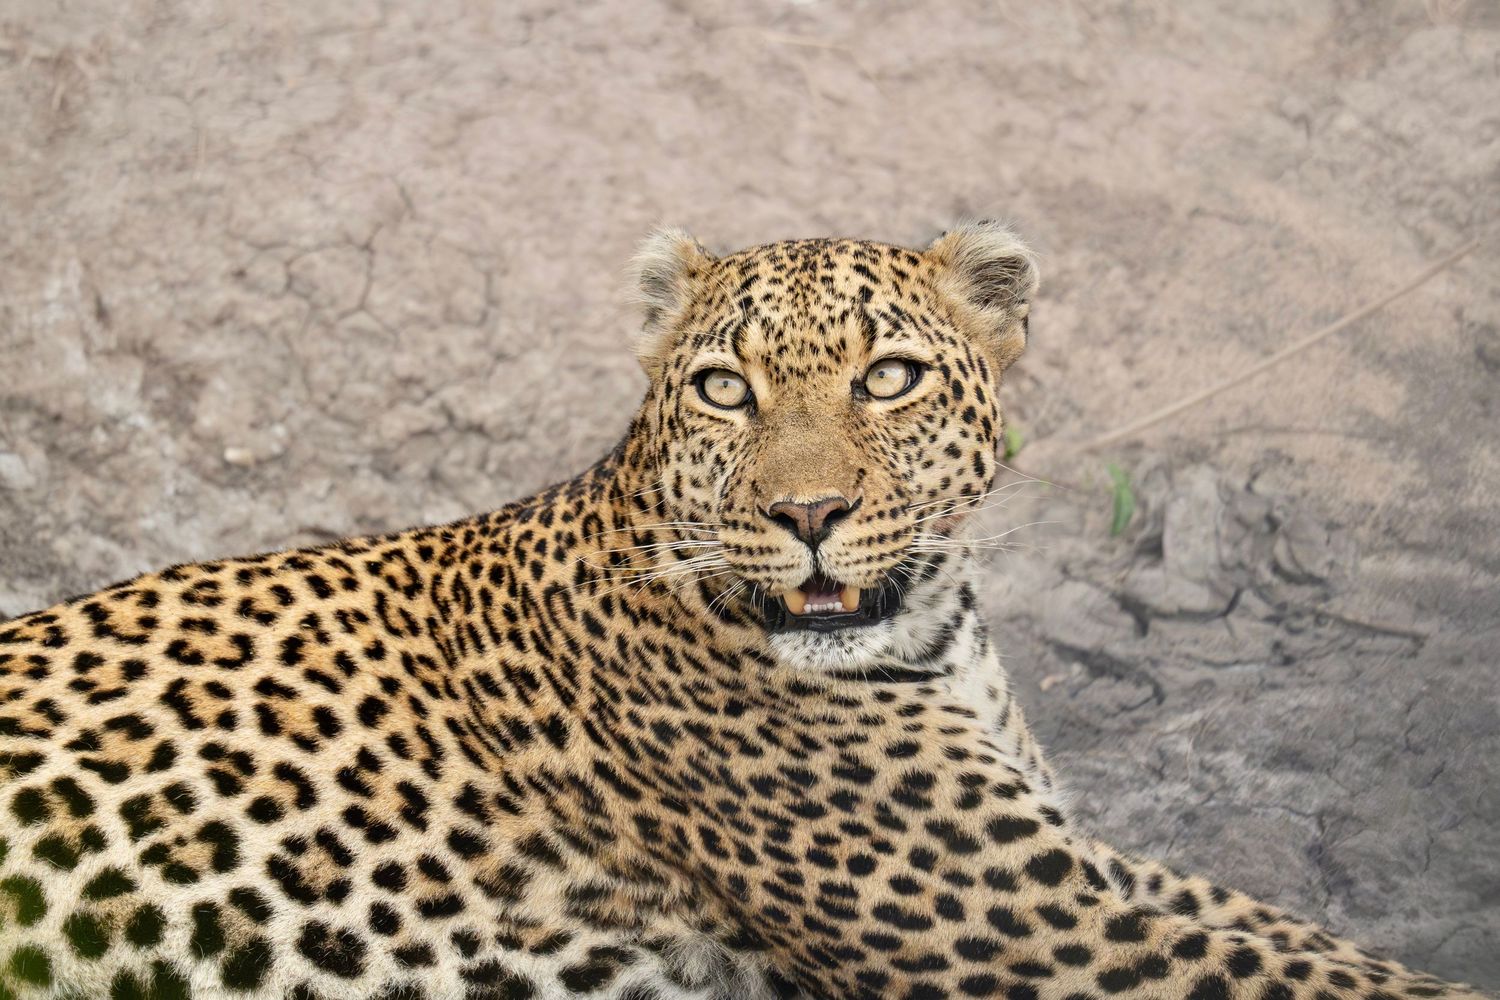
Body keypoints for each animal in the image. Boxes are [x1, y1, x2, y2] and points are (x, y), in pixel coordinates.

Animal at [0, 222, 1486, 1000]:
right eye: (726, 388)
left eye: (888, 378)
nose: (808, 511)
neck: (934, 636)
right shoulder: (1027, 922)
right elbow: (1323, 974)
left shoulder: (1061, 869)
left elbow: (1307, 938)